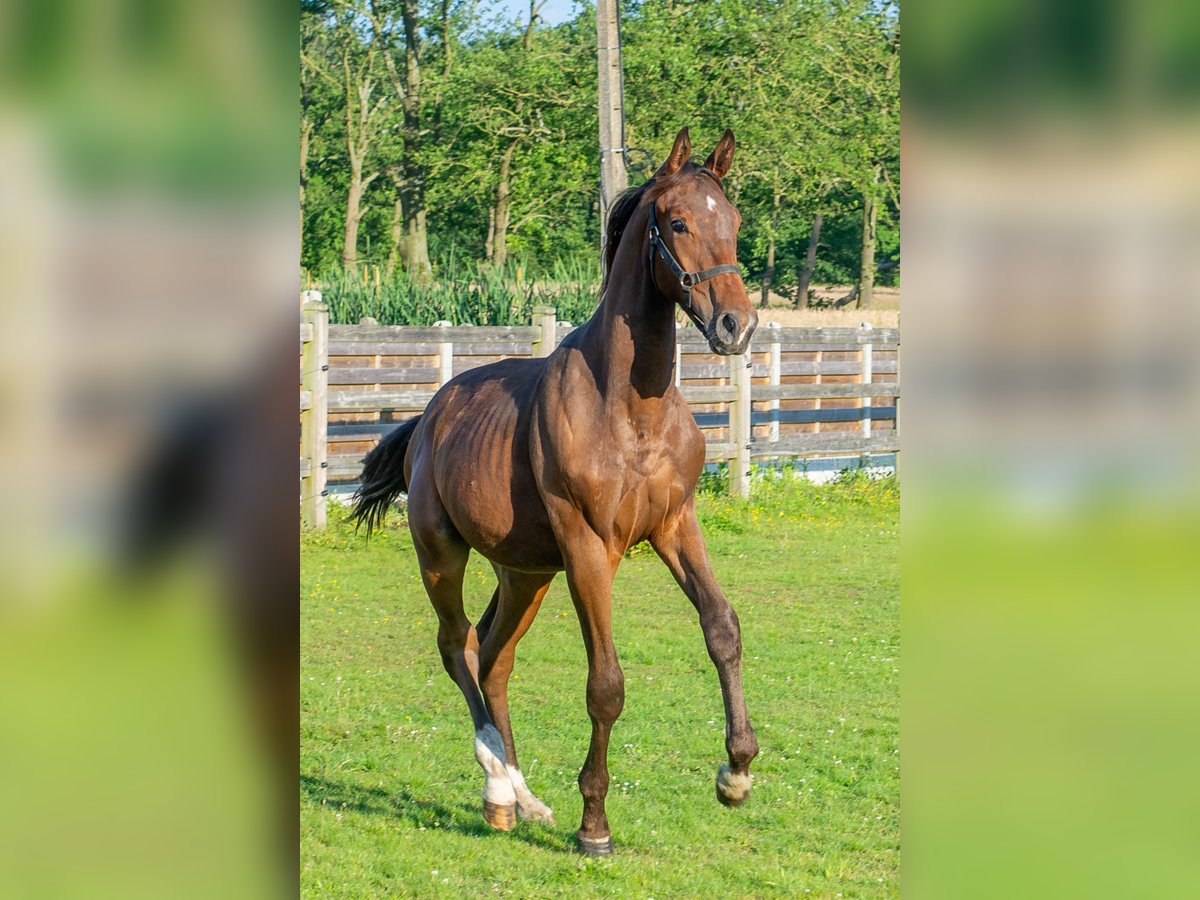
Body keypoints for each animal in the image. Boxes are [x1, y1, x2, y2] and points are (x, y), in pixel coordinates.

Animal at [350, 125, 758, 854]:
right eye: (679, 222)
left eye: (733, 222)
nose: (737, 325)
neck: (630, 410)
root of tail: (430, 415)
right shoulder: (591, 547)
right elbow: (606, 683)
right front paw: (593, 824)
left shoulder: (675, 526)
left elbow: (721, 627)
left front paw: (735, 774)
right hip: (441, 555)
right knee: (457, 645)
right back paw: (501, 784)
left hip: (525, 573)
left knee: (493, 655)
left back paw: (515, 801)